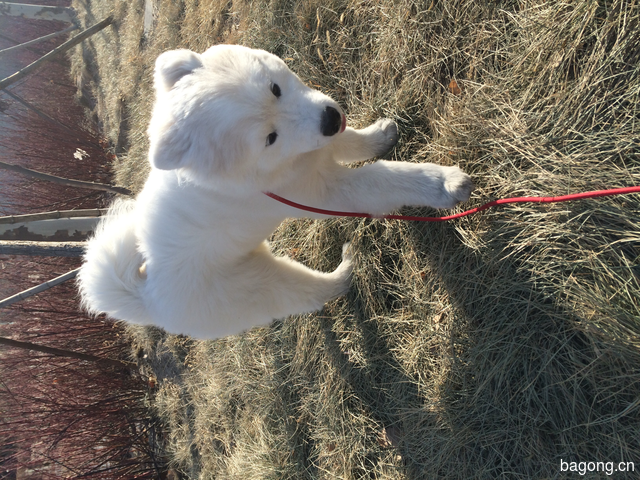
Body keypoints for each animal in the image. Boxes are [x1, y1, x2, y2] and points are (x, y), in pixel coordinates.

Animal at [77, 44, 472, 338]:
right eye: (270, 138)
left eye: (275, 88)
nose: (331, 118)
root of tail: (146, 297)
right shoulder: (326, 192)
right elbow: (385, 178)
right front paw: (443, 183)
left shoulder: (319, 145)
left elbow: (351, 143)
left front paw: (381, 135)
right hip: (266, 286)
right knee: (312, 291)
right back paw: (344, 270)